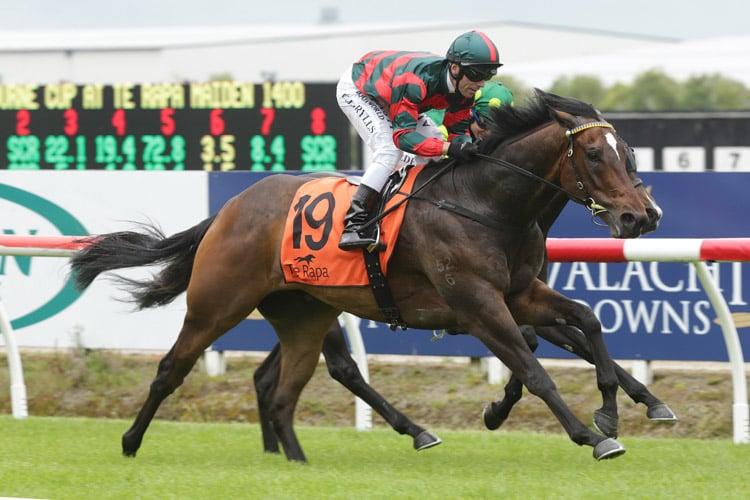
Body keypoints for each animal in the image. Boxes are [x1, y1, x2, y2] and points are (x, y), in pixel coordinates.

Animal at [69, 89, 656, 460]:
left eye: (628, 152)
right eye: (596, 154)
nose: (642, 216)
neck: (483, 203)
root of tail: (231, 208)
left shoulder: (518, 294)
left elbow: (586, 323)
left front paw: (616, 410)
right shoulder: (476, 305)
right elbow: (534, 369)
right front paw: (589, 435)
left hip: (304, 312)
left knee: (286, 386)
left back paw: (305, 457)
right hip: (218, 302)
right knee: (174, 368)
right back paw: (130, 443)